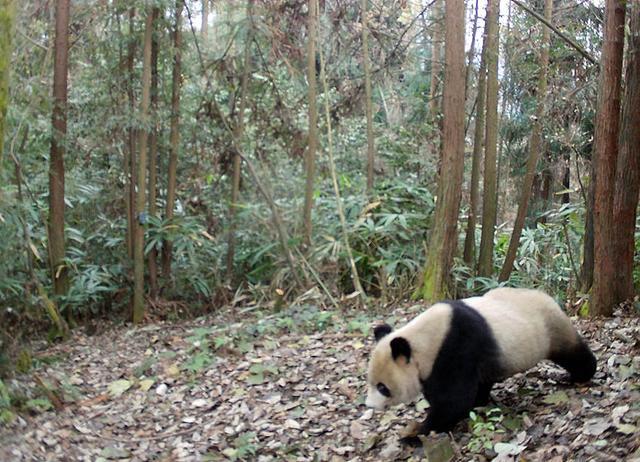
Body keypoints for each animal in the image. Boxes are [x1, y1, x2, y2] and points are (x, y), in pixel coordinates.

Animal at [368, 288, 596, 444]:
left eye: (382, 387)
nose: (370, 406)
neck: (423, 340)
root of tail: (547, 296)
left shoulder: (455, 346)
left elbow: (453, 401)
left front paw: (415, 435)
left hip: (550, 328)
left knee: (573, 353)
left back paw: (580, 375)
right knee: (485, 379)